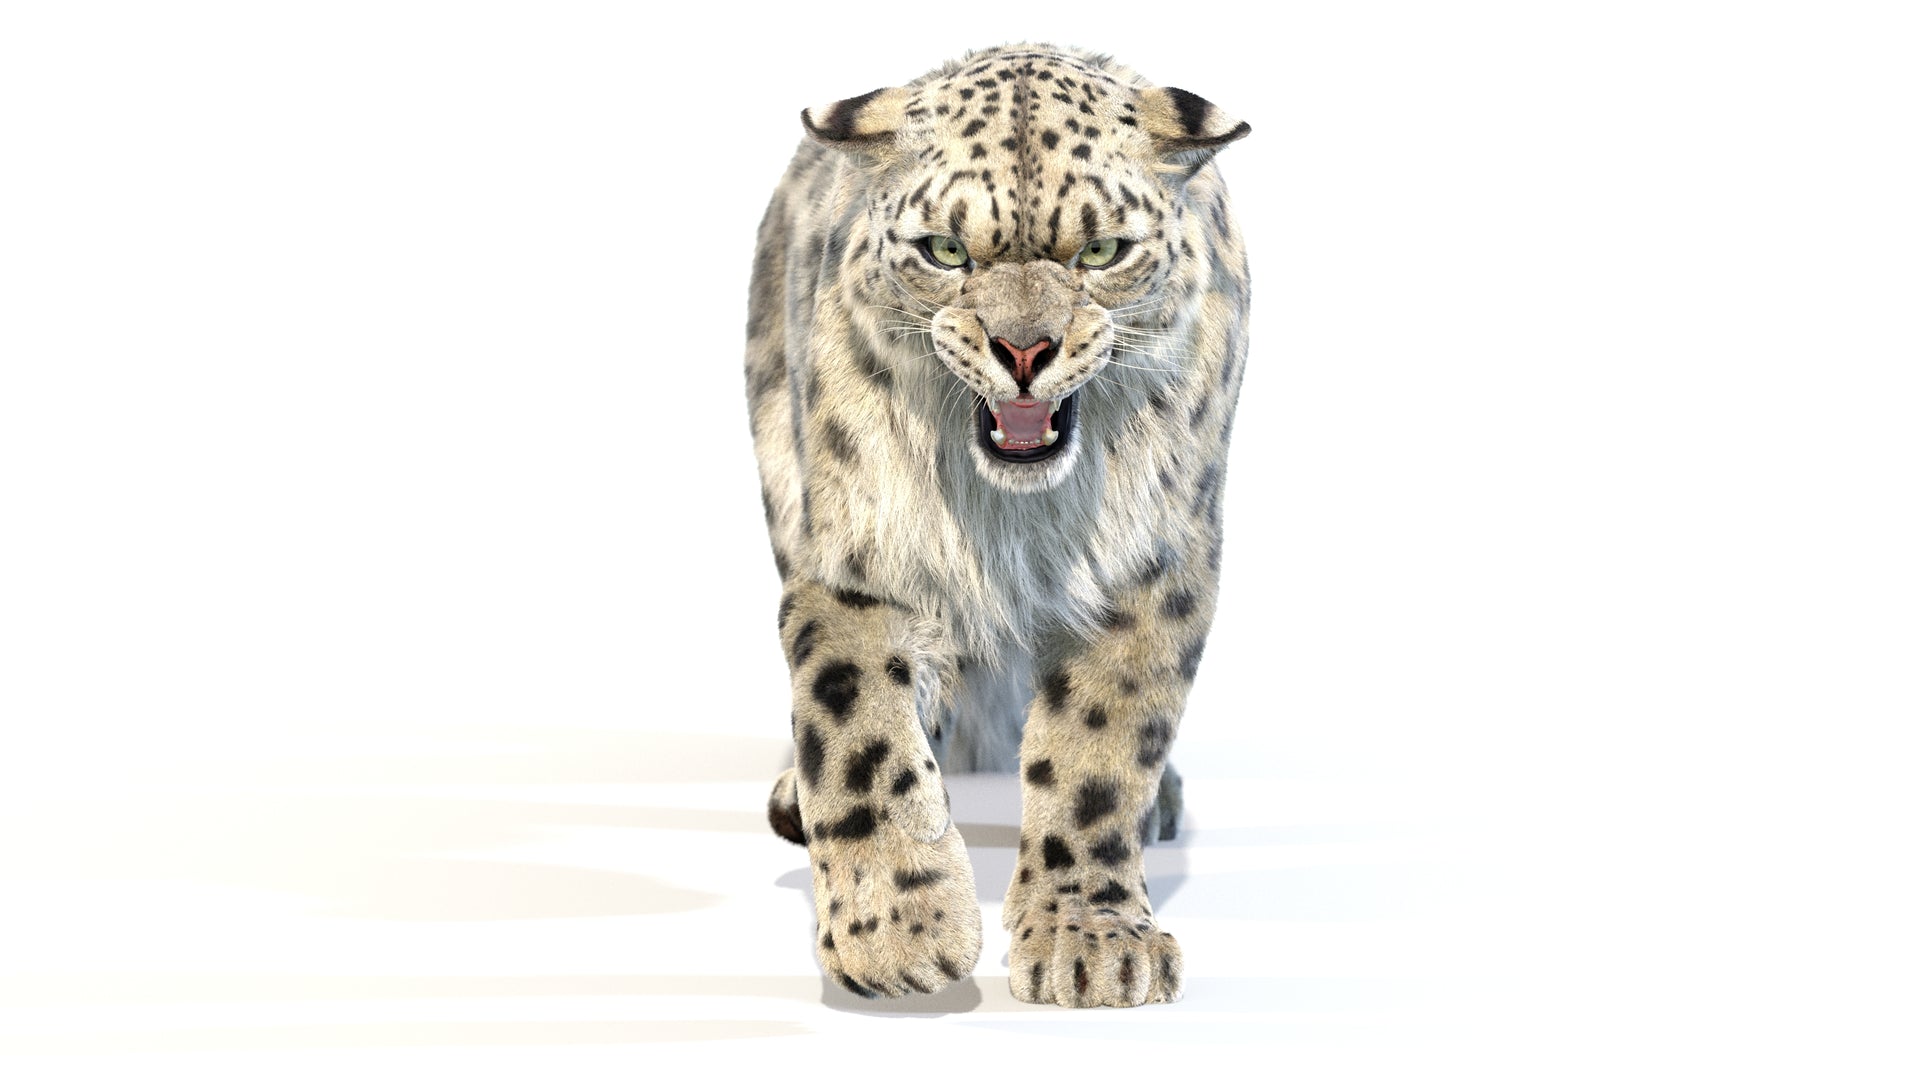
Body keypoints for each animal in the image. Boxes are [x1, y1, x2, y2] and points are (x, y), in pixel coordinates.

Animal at [744, 43, 1251, 1008]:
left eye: (1101, 250)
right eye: (945, 251)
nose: (1023, 350)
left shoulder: (1149, 564)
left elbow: (1099, 750)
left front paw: (1092, 943)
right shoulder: (858, 558)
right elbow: (860, 731)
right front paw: (897, 935)